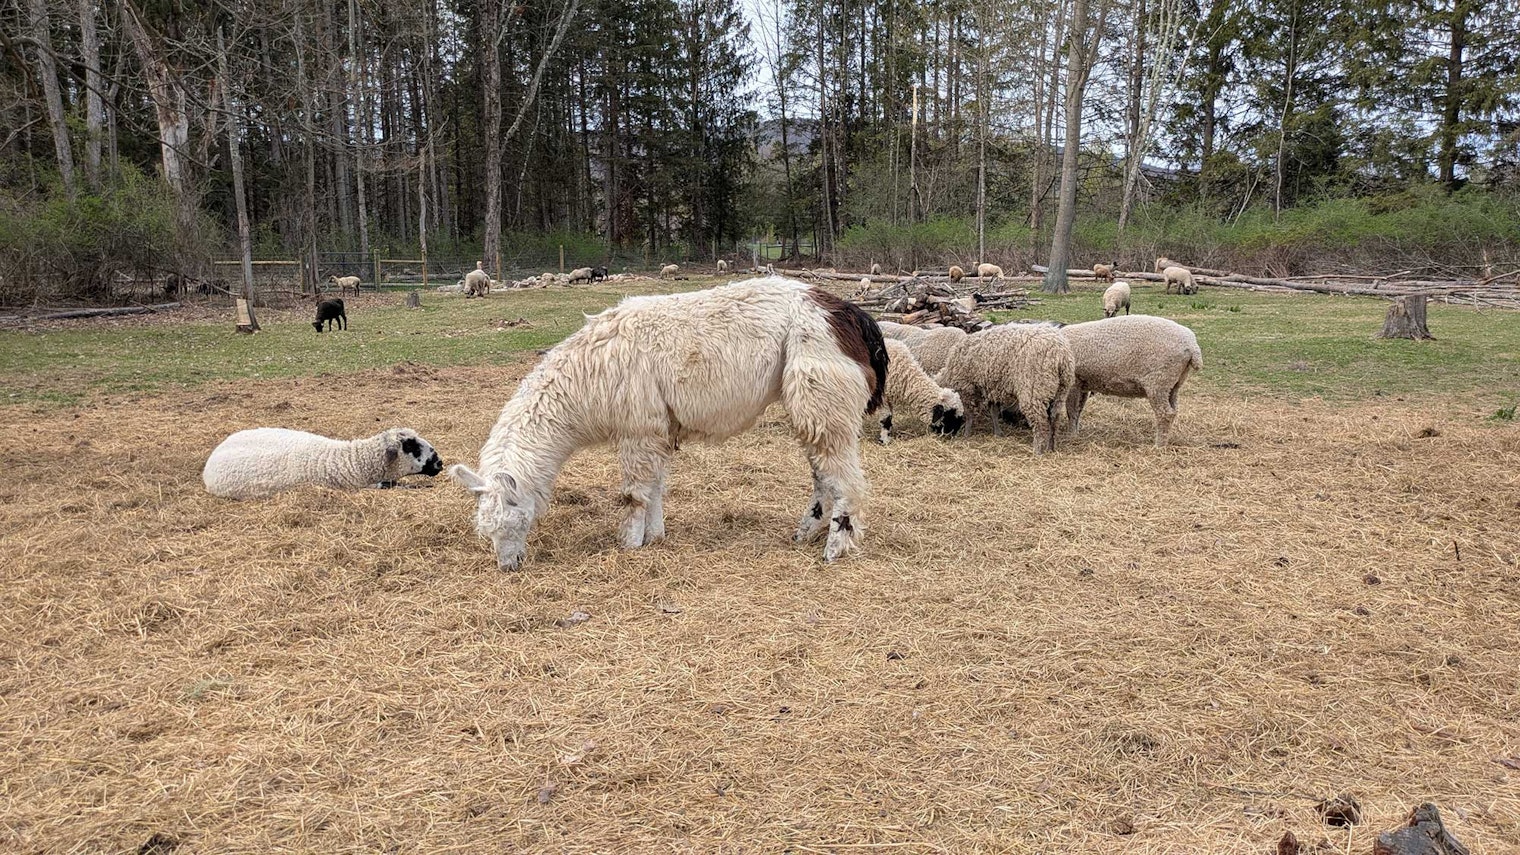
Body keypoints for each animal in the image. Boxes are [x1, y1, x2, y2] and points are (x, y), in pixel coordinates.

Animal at [449, 276, 888, 571]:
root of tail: (851, 314)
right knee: (823, 473)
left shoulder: (637, 427)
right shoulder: (656, 429)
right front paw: (655, 536)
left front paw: (629, 545)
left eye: (514, 521)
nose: (508, 566)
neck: (587, 379)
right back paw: (805, 533)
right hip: (814, 401)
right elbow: (656, 487)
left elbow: (634, 494)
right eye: (485, 531)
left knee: (847, 479)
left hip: (819, 385)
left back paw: (834, 548)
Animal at [935, 323, 1075, 455]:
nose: (941, 435)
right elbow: (994, 411)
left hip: (1034, 390)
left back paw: (1038, 451)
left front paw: (966, 434)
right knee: (1054, 419)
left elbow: (969, 414)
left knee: (1040, 423)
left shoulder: (966, 387)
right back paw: (1051, 447)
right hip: (1060, 391)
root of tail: (1061, 355)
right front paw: (998, 432)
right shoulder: (992, 387)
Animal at [1059, 314, 1203, 446]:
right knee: (1174, 411)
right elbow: (1079, 410)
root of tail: (1193, 346)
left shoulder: (1074, 382)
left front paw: (1071, 436)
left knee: (1165, 414)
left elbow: (1071, 410)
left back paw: (1158, 446)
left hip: (1159, 382)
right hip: (1174, 383)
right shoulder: (1083, 383)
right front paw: (1076, 433)